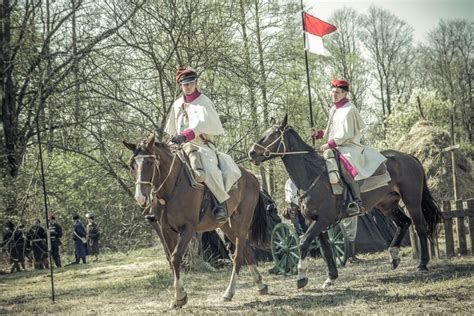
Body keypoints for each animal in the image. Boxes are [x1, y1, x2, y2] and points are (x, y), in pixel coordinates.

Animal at [123, 134, 270, 308]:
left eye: (150, 163)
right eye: (132, 165)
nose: (140, 197)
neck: (172, 187)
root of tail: (251, 176)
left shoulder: (188, 228)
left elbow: (176, 257)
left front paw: (180, 296)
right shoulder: (167, 230)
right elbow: (171, 260)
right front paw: (178, 297)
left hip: (242, 223)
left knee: (238, 256)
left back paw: (229, 292)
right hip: (227, 226)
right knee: (247, 251)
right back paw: (260, 285)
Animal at [246, 115, 442, 290]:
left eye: (271, 134)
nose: (251, 153)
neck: (312, 175)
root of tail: (409, 157)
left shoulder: (323, 220)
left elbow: (303, 242)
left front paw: (301, 277)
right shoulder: (314, 221)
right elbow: (325, 249)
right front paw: (331, 277)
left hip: (412, 200)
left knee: (420, 226)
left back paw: (422, 264)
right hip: (387, 205)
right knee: (404, 223)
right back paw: (394, 256)